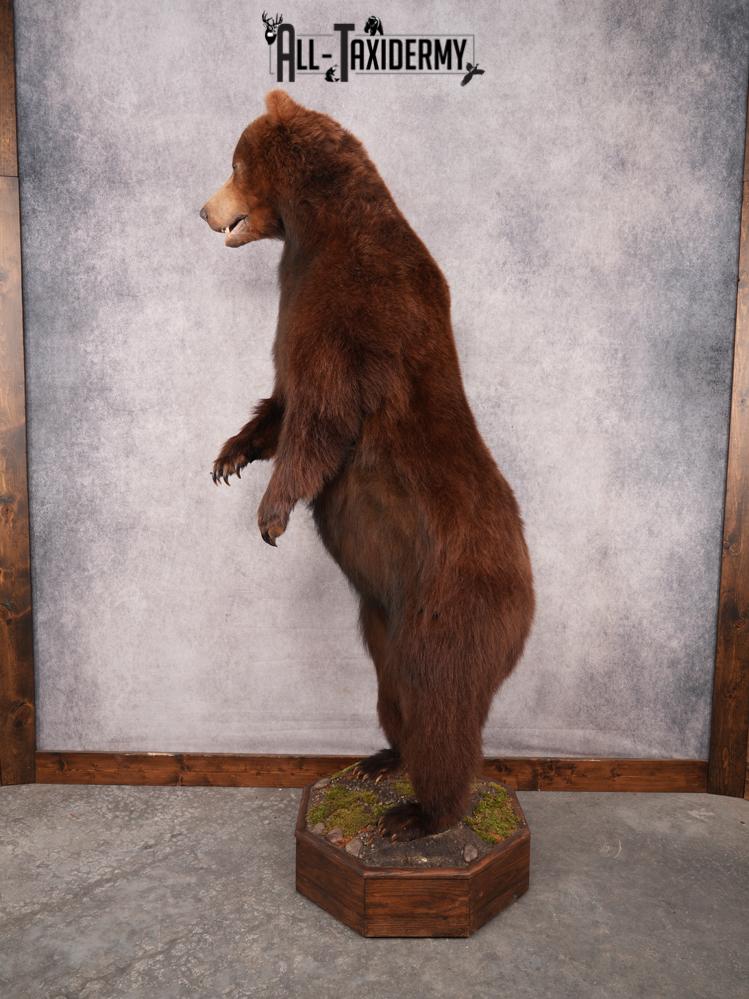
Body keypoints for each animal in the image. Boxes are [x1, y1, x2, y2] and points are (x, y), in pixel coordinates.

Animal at [200, 90, 535, 840]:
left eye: (233, 162)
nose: (202, 210)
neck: (312, 230)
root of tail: (526, 606)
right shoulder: (301, 307)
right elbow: (281, 399)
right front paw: (230, 456)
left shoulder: (354, 306)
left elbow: (321, 412)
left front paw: (271, 513)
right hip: (383, 628)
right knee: (396, 697)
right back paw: (381, 759)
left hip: (449, 612)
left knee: (442, 712)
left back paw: (418, 814)